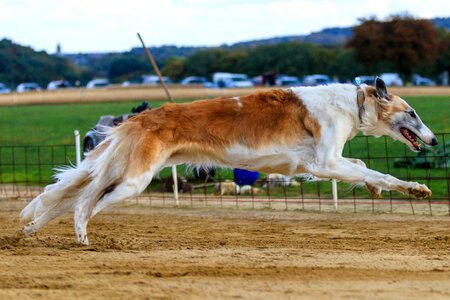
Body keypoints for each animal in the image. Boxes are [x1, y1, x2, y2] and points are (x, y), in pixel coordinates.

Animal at [21, 77, 440, 244]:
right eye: (413, 112)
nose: (435, 140)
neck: (351, 104)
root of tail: (139, 118)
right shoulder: (323, 162)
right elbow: (379, 172)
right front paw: (417, 188)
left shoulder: (321, 163)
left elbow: (367, 171)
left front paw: (378, 188)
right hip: (133, 180)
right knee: (82, 204)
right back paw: (81, 237)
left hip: (124, 173)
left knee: (71, 199)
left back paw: (37, 231)